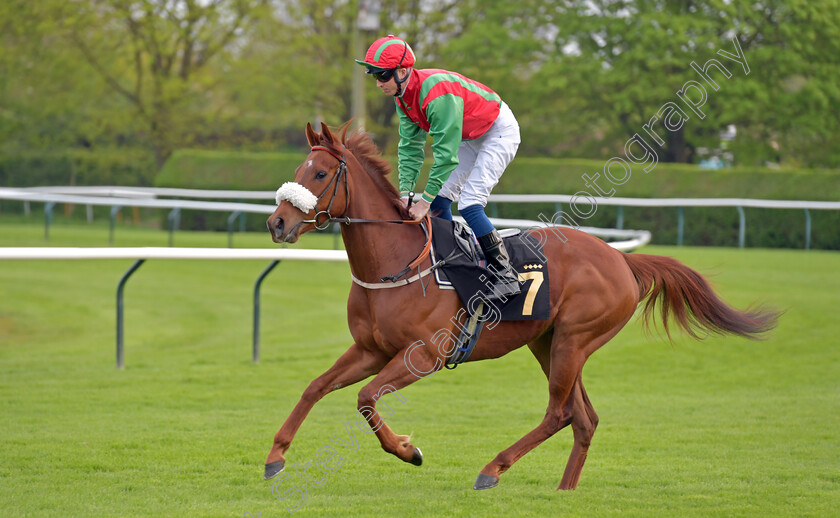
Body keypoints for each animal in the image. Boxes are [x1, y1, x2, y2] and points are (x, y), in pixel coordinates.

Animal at [264, 122, 780, 492]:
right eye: (301, 169)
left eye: (321, 173)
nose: (277, 223)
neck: (397, 262)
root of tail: (621, 258)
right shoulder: (370, 349)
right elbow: (315, 387)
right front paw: (275, 456)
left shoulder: (423, 356)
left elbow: (366, 397)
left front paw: (408, 450)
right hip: (549, 343)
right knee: (584, 418)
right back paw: (564, 490)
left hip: (574, 339)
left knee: (560, 414)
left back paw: (493, 468)